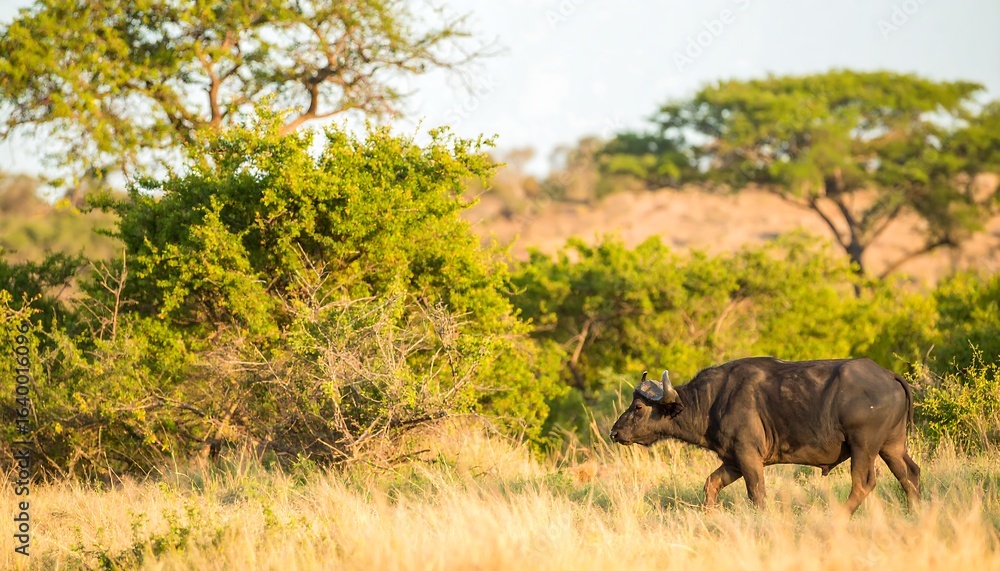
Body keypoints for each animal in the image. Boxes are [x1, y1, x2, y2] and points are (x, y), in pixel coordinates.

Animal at [609, 357, 919, 514]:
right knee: (910, 475)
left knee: (864, 483)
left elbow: (756, 493)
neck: (712, 401)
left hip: (863, 447)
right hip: (892, 446)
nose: (614, 432)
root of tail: (888, 375)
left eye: (638, 407)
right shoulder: (733, 460)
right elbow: (711, 484)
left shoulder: (748, 456)